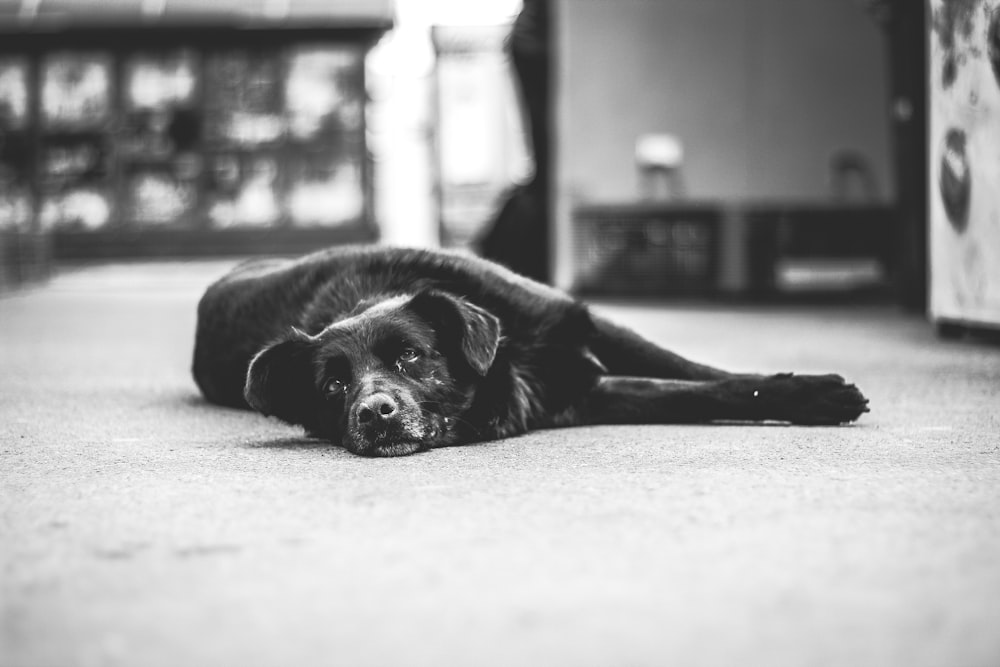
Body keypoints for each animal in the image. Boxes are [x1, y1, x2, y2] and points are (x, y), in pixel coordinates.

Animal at [193, 245, 868, 460]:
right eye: (333, 386)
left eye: (410, 356)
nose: (372, 413)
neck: (508, 355)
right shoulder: (581, 393)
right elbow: (688, 395)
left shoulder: (587, 328)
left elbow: (702, 374)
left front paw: (813, 392)